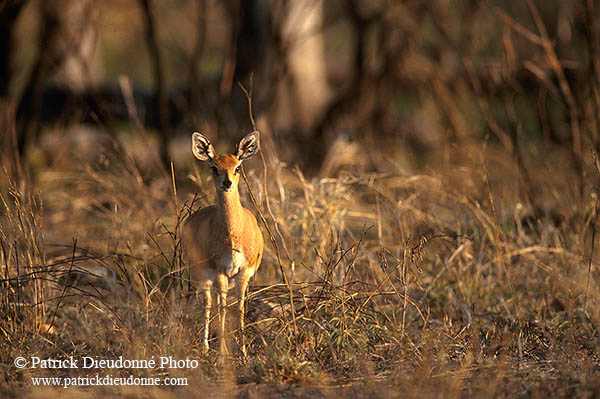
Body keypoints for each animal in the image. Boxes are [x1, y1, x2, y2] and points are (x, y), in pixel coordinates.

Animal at [184, 132, 264, 360]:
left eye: (237, 167)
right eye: (213, 167)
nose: (226, 183)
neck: (233, 235)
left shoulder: (244, 272)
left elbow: (239, 309)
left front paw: (243, 352)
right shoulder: (220, 270)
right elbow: (221, 308)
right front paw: (222, 353)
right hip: (201, 275)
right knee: (208, 304)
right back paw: (205, 347)